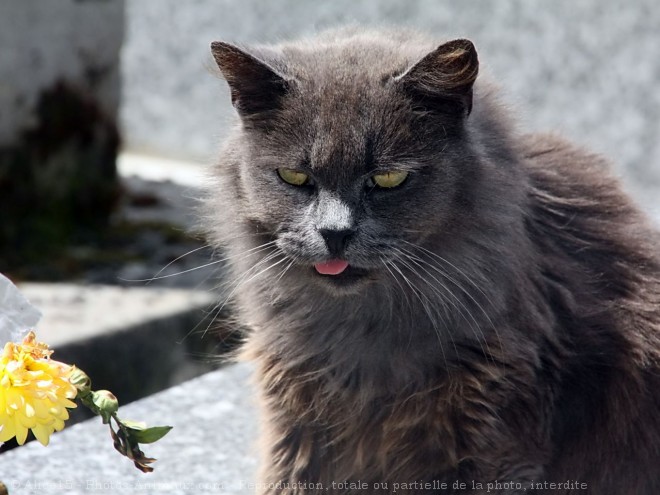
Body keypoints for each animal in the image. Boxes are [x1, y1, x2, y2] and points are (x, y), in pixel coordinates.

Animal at [205, 28, 660, 495]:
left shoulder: (493, 430)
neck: (363, 334)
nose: (334, 233)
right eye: (295, 178)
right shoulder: (296, 417)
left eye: (388, 179)